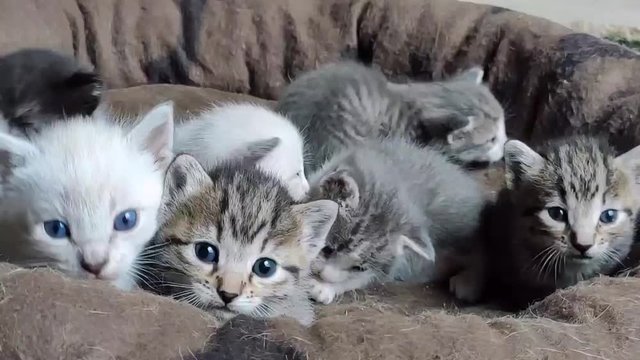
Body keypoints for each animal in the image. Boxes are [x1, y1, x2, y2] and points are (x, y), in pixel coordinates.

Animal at [308, 137, 488, 304]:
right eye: (327, 250)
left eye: (358, 267)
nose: (324, 275)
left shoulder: (388, 266)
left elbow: (361, 279)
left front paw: (325, 287)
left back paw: (469, 282)